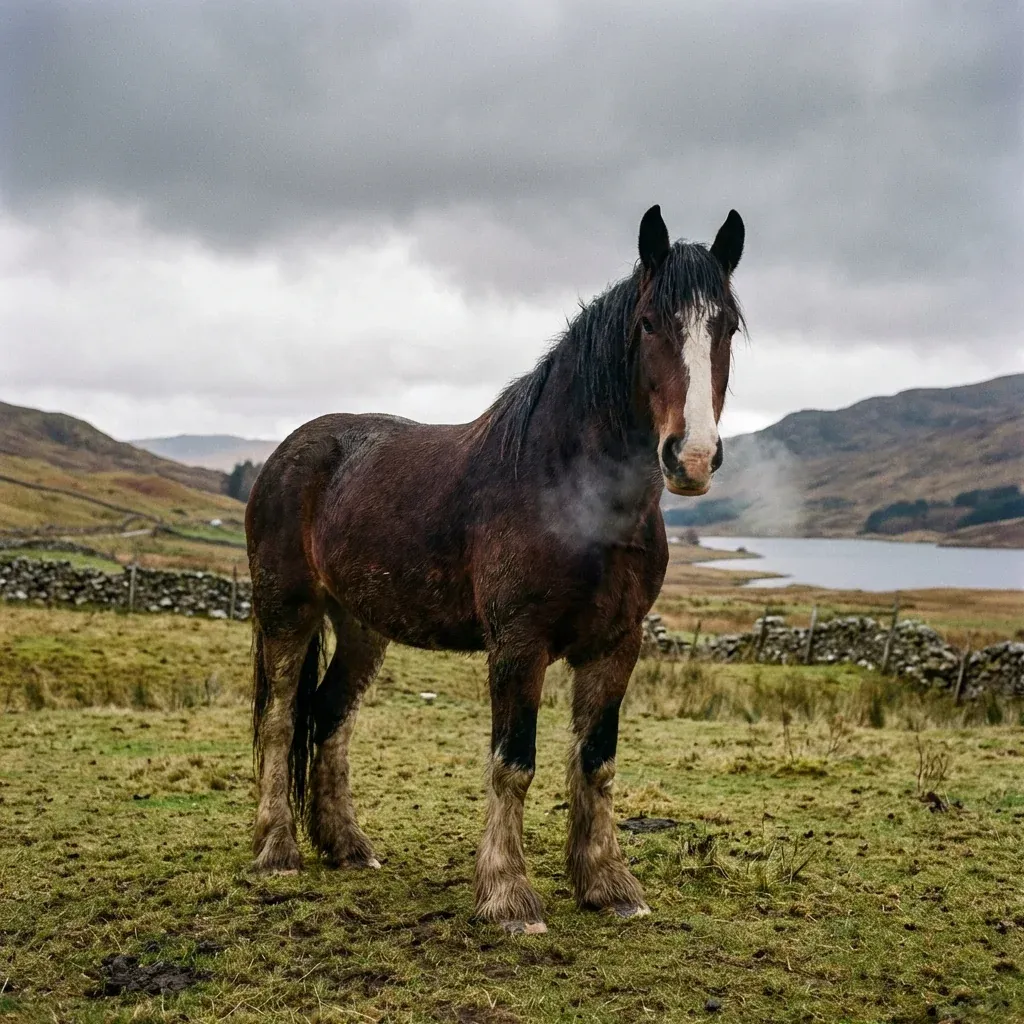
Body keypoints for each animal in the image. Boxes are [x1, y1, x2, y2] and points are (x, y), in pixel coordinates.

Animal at [246, 204, 745, 934]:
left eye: (726, 326)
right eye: (652, 322)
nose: (693, 457)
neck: (570, 494)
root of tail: (290, 451)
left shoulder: (617, 645)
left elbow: (596, 763)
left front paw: (607, 884)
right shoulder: (518, 643)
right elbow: (513, 764)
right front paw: (509, 896)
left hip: (363, 626)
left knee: (332, 718)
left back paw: (349, 847)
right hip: (288, 611)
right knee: (282, 720)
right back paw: (277, 849)